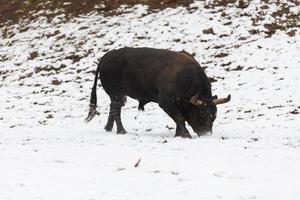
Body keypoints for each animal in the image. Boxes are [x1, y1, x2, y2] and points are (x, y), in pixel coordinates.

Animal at [85, 47, 231, 138]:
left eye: (214, 115)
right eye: (201, 112)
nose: (206, 133)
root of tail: (107, 56)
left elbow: (179, 119)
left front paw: (178, 134)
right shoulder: (165, 103)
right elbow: (180, 118)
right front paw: (185, 135)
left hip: (118, 96)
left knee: (114, 108)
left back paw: (108, 128)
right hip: (117, 94)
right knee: (116, 110)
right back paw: (121, 131)